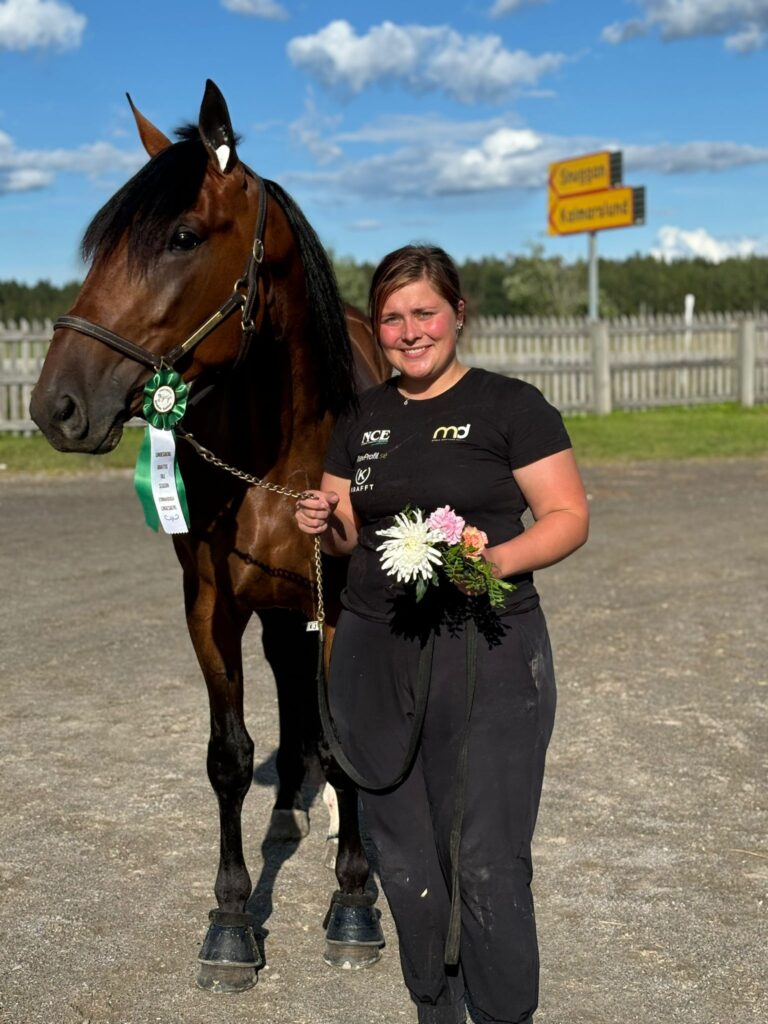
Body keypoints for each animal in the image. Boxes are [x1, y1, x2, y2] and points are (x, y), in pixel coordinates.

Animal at [30, 79, 391, 991]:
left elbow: (344, 743)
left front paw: (354, 902)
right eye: (100, 245)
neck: (277, 450)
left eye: (184, 237)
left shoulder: (340, 606)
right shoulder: (211, 605)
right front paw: (229, 923)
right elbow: (228, 755)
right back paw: (288, 813)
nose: (56, 406)